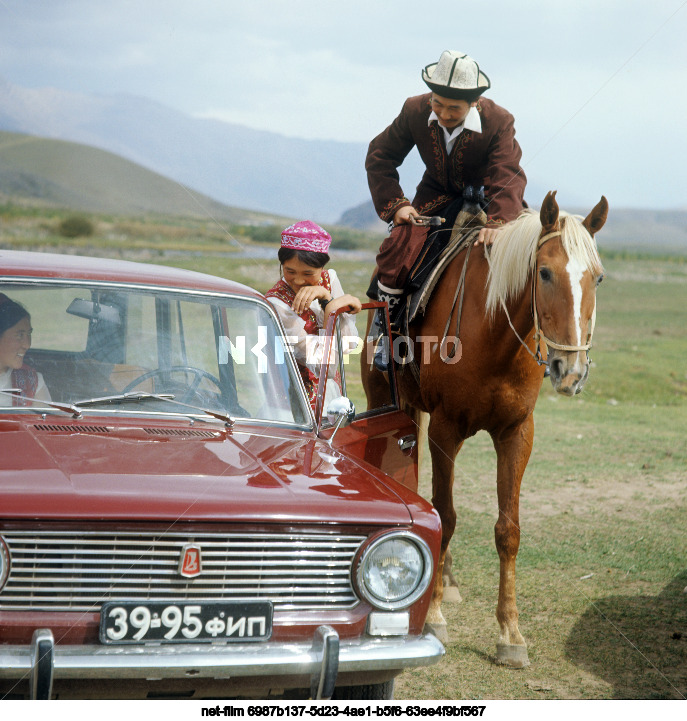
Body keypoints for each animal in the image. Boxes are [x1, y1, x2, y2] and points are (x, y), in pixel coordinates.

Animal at [362, 193, 612, 668]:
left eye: (599, 277)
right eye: (544, 272)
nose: (571, 372)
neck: (495, 336)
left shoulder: (517, 434)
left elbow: (508, 530)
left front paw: (511, 633)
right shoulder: (444, 430)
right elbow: (445, 515)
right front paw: (434, 616)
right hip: (387, 400)